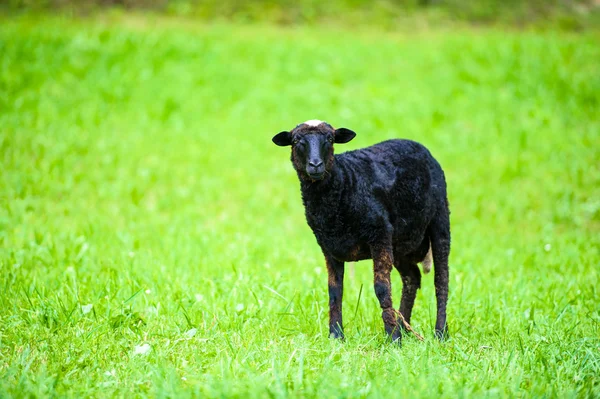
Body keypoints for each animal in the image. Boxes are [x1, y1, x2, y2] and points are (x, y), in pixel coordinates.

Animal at [272, 119, 450, 344]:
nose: (315, 165)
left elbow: (382, 287)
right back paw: (404, 327)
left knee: (441, 280)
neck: (343, 184)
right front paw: (336, 335)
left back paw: (440, 332)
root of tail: (419, 146)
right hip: (400, 243)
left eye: (330, 139)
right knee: (412, 278)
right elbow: (334, 290)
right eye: (296, 141)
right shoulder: (328, 246)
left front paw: (393, 338)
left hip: (440, 218)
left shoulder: (380, 234)